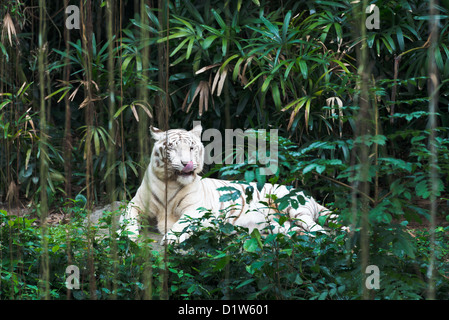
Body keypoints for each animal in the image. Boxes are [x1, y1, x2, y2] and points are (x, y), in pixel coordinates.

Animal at [121, 124, 330, 242]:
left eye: (191, 147)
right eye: (172, 148)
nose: (187, 163)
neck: (170, 182)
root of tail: (309, 196)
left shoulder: (196, 210)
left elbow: (181, 225)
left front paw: (170, 239)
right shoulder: (135, 204)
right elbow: (127, 219)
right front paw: (127, 236)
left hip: (292, 206)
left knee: (320, 231)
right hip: (283, 224)